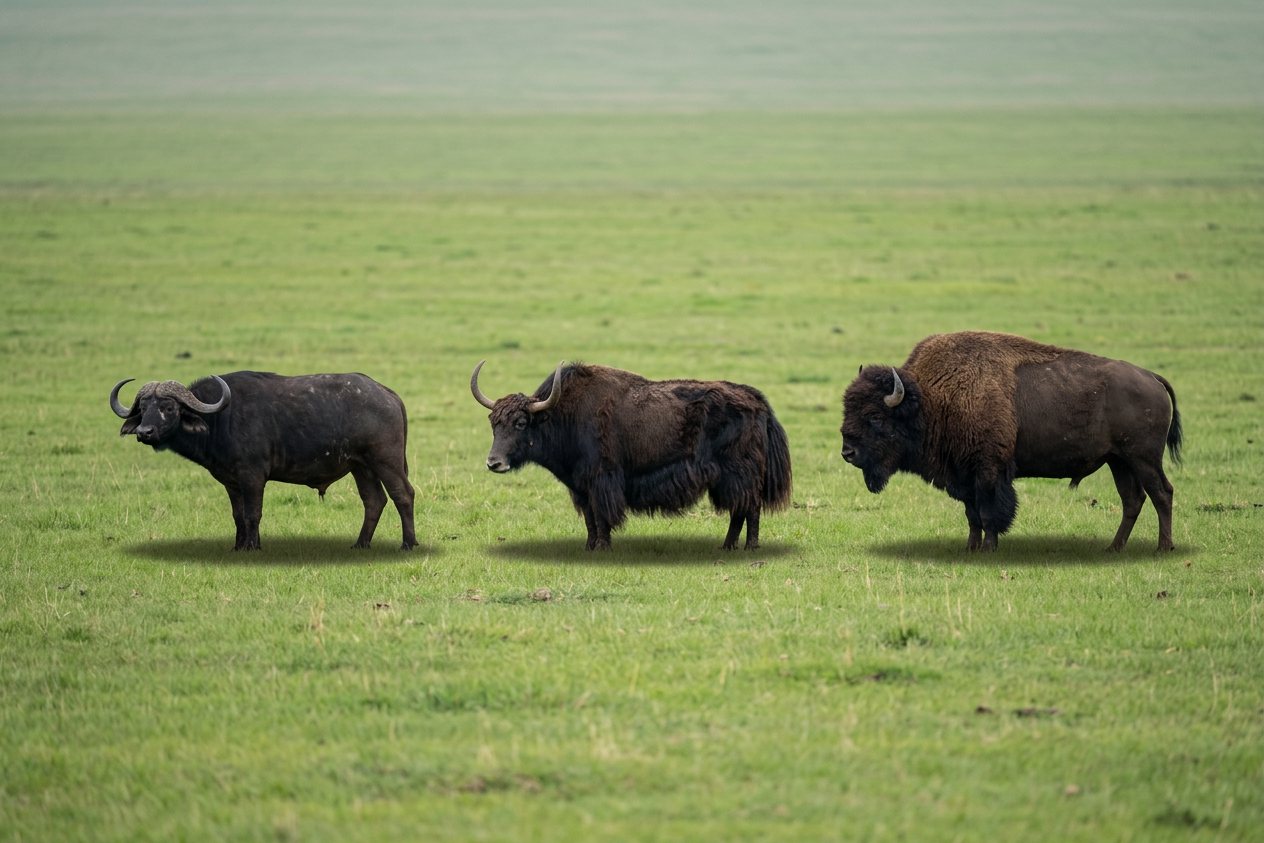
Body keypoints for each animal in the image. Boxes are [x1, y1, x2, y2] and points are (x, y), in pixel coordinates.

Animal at [110, 371, 417, 551]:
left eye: (168, 407)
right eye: (143, 407)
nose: (144, 432)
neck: (221, 418)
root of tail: (388, 394)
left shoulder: (253, 477)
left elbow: (253, 513)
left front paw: (253, 547)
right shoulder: (231, 482)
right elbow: (237, 515)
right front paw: (238, 546)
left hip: (385, 461)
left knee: (403, 495)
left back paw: (408, 543)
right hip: (361, 467)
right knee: (374, 501)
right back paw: (360, 544)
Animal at [471, 361, 793, 550]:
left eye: (520, 423)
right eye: (493, 423)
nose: (494, 463)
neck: (563, 417)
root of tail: (758, 402)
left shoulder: (601, 480)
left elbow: (602, 516)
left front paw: (603, 548)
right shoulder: (581, 487)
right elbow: (590, 518)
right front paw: (589, 548)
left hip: (740, 473)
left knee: (749, 508)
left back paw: (748, 548)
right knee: (740, 510)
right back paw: (727, 547)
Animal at [840, 331, 1181, 552]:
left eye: (875, 417)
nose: (847, 452)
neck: (931, 400)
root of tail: (1151, 377)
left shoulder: (988, 471)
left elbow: (989, 512)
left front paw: (989, 549)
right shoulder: (964, 475)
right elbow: (972, 515)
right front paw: (971, 548)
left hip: (1143, 458)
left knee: (1161, 493)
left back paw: (1162, 548)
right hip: (1118, 461)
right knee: (1133, 499)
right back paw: (1114, 547)